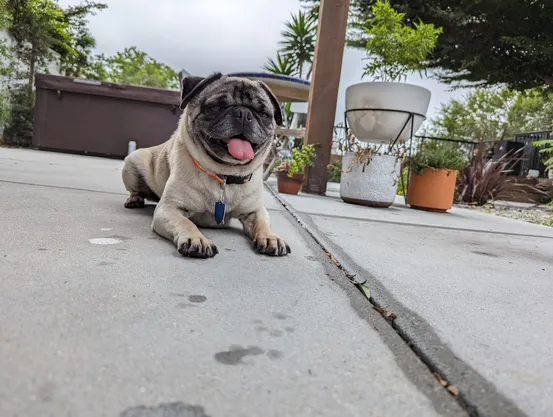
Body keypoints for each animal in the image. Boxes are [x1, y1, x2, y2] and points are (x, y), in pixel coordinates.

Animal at [119, 73, 288, 258]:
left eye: (264, 114)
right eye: (214, 107)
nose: (243, 113)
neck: (224, 175)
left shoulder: (255, 211)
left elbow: (263, 224)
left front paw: (270, 237)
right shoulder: (169, 209)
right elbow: (186, 223)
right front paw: (196, 239)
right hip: (133, 162)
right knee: (135, 190)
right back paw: (134, 199)